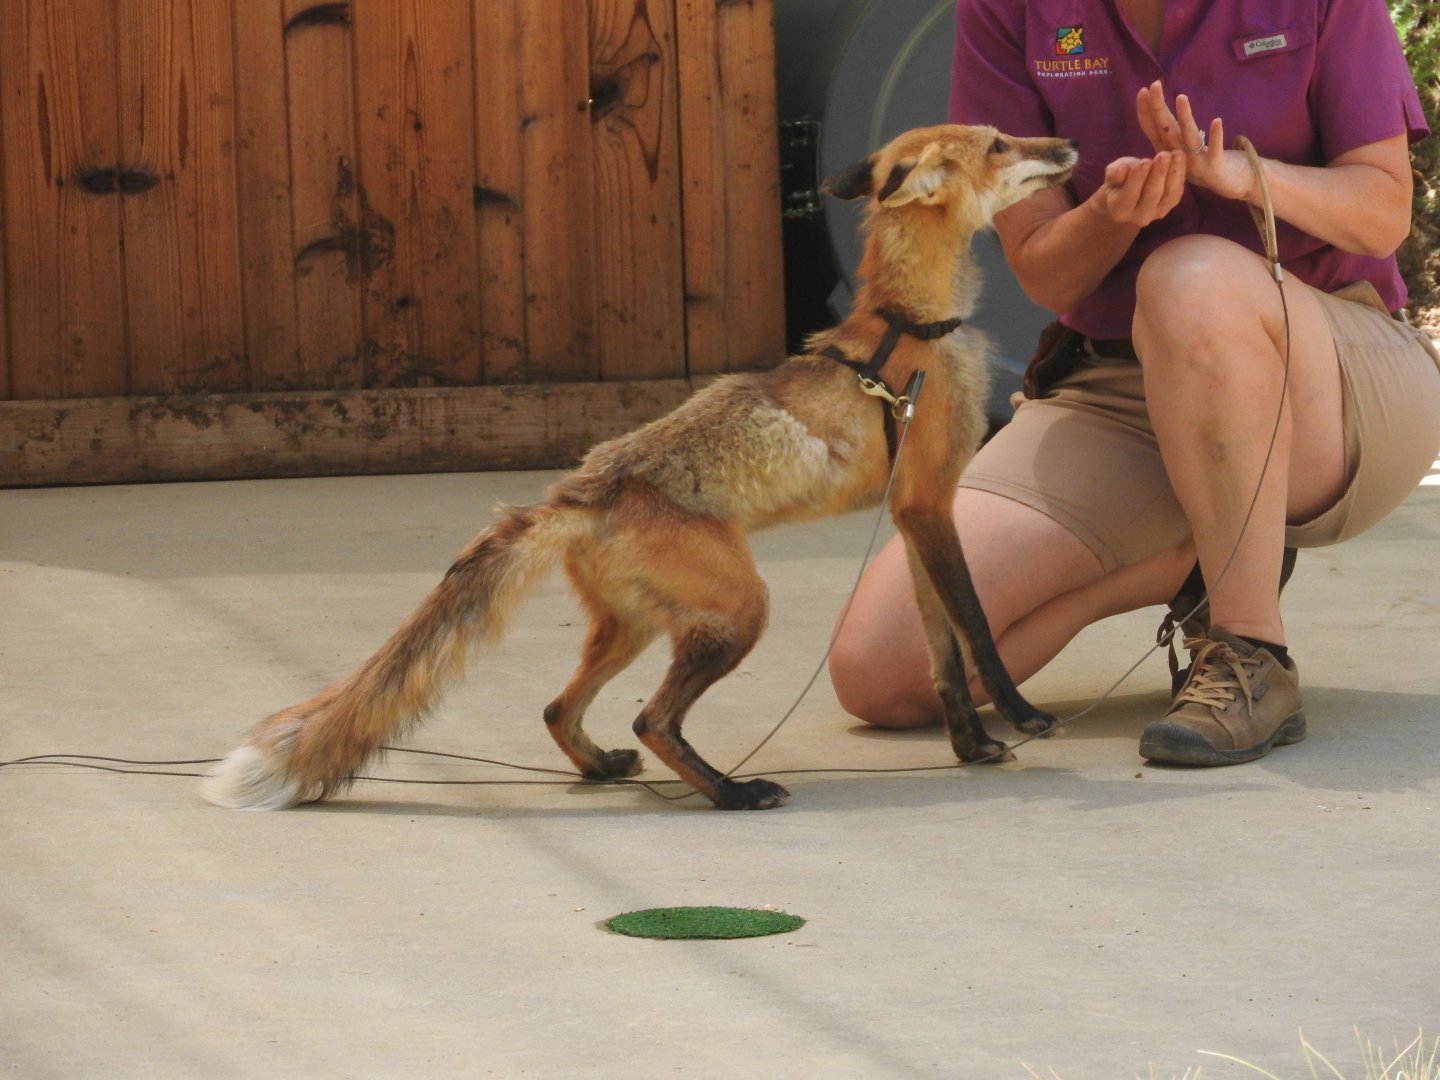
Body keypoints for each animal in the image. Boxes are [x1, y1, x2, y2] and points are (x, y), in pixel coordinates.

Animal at [203, 123, 1079, 813]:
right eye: (1001, 143)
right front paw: (1022, 717)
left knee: (558, 710)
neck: (913, 326)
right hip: (738, 611)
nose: (1067, 145)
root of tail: (581, 489)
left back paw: (603, 769)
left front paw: (970, 746)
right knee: (650, 719)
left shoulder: (913, 511)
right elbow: (976, 631)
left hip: (636, 626)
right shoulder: (929, 505)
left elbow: (942, 653)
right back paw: (730, 792)